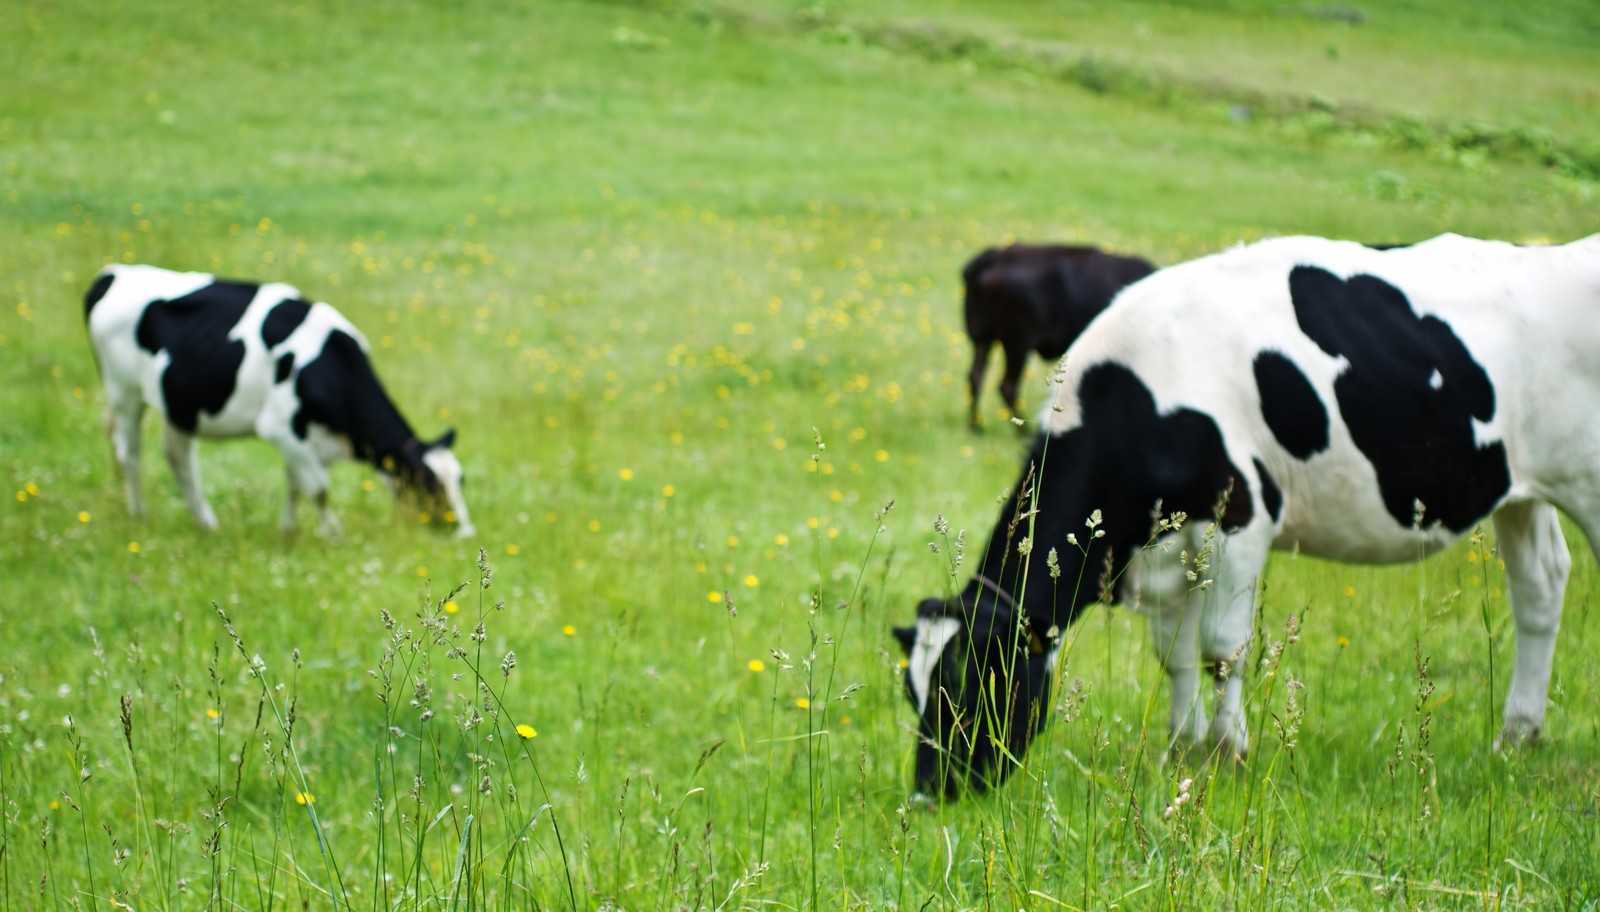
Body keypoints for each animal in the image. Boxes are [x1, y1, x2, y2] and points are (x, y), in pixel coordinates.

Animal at [86, 262, 473, 537]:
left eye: (461, 480)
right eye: (429, 484)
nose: (464, 530)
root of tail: (114, 273)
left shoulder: (303, 438)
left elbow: (297, 486)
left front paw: (288, 532)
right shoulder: (282, 428)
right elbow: (318, 488)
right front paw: (334, 537)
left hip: (180, 405)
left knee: (178, 459)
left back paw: (206, 523)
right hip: (124, 392)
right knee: (130, 456)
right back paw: (141, 516)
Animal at [953, 241, 1158, 425]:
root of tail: (992, 257)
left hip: (982, 338)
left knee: (975, 377)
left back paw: (976, 426)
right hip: (1016, 343)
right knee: (1007, 385)